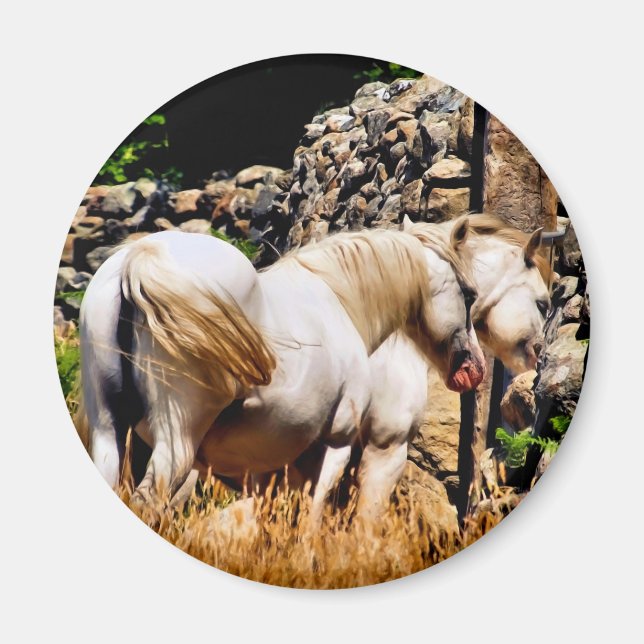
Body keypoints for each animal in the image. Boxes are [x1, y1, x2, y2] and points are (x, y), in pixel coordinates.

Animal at [79, 222, 485, 518]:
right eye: (469, 294)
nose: (475, 368)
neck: (340, 302)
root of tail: (138, 258)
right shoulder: (344, 446)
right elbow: (316, 520)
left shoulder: (268, 467)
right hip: (176, 443)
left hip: (110, 432)